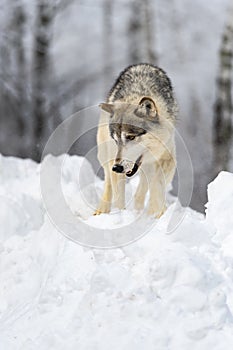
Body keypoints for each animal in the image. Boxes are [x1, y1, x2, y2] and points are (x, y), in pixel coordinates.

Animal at [93, 62, 177, 216]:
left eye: (131, 137)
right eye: (115, 139)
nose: (117, 167)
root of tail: (143, 64)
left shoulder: (167, 159)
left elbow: (157, 186)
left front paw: (156, 214)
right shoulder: (114, 160)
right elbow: (118, 196)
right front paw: (121, 216)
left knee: (141, 191)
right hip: (104, 154)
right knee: (108, 182)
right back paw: (101, 211)